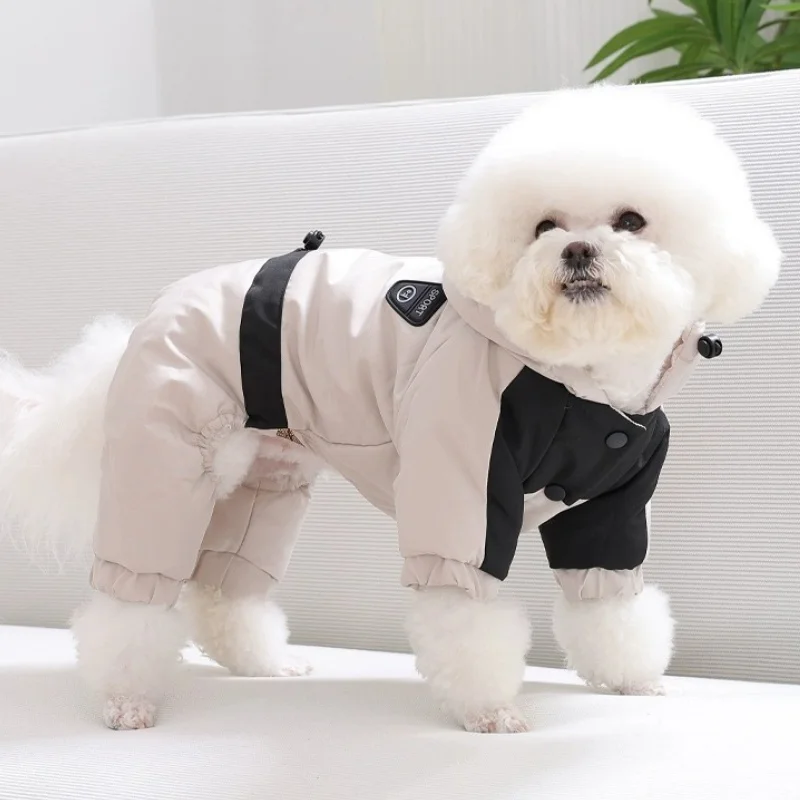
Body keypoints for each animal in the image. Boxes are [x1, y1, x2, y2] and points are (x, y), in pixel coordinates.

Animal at [0, 84, 781, 733]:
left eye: (632, 220)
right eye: (543, 226)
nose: (579, 250)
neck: (577, 378)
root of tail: (146, 319)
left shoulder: (609, 509)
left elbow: (610, 598)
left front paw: (629, 681)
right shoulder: (462, 475)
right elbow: (465, 610)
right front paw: (489, 710)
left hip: (267, 476)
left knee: (225, 586)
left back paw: (262, 663)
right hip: (169, 452)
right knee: (131, 597)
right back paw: (125, 697)